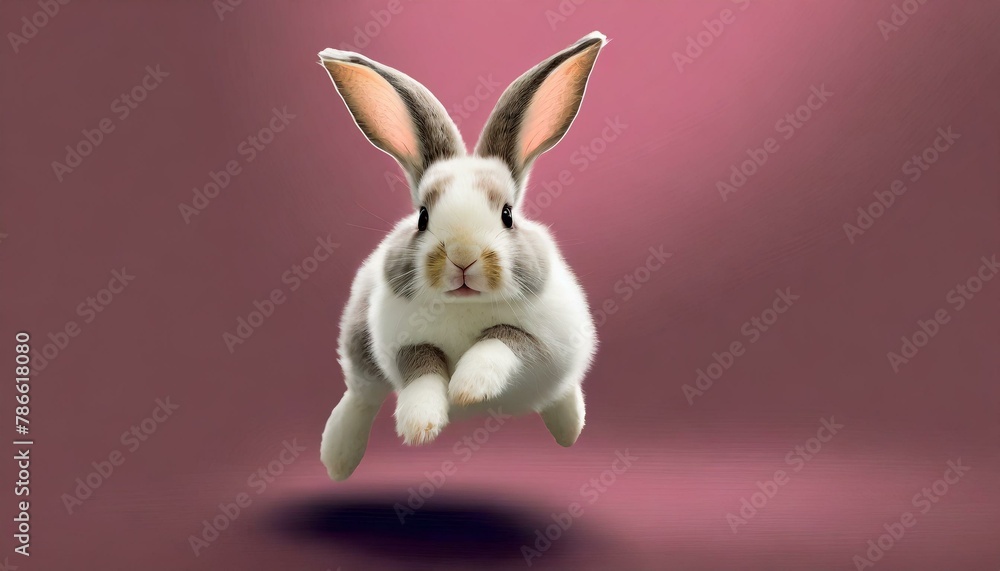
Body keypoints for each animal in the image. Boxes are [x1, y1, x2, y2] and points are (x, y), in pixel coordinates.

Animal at [317, 31, 606, 481]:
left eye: (507, 215)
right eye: (422, 217)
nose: (463, 257)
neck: (464, 306)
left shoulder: (545, 344)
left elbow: (503, 338)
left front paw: (468, 388)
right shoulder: (402, 343)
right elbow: (421, 365)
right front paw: (420, 422)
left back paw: (569, 428)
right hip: (358, 344)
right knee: (361, 396)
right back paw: (338, 459)